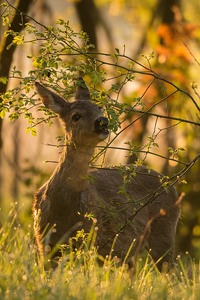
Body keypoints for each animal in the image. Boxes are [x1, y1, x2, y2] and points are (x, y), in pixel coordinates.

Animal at [33, 78, 180, 270]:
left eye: (99, 108)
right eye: (76, 116)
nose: (102, 121)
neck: (62, 212)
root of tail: (171, 185)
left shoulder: (93, 241)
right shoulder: (44, 243)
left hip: (164, 230)